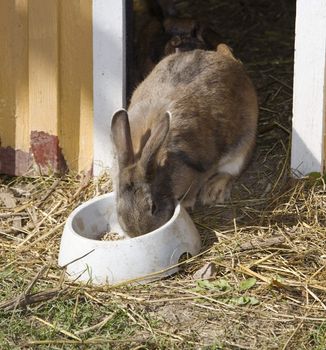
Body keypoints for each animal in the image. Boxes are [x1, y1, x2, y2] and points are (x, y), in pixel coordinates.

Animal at [111, 43, 258, 235]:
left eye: (153, 207)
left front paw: (187, 204)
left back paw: (213, 191)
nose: (139, 234)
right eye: (119, 210)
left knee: (232, 171)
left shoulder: (201, 170)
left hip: (244, 143)